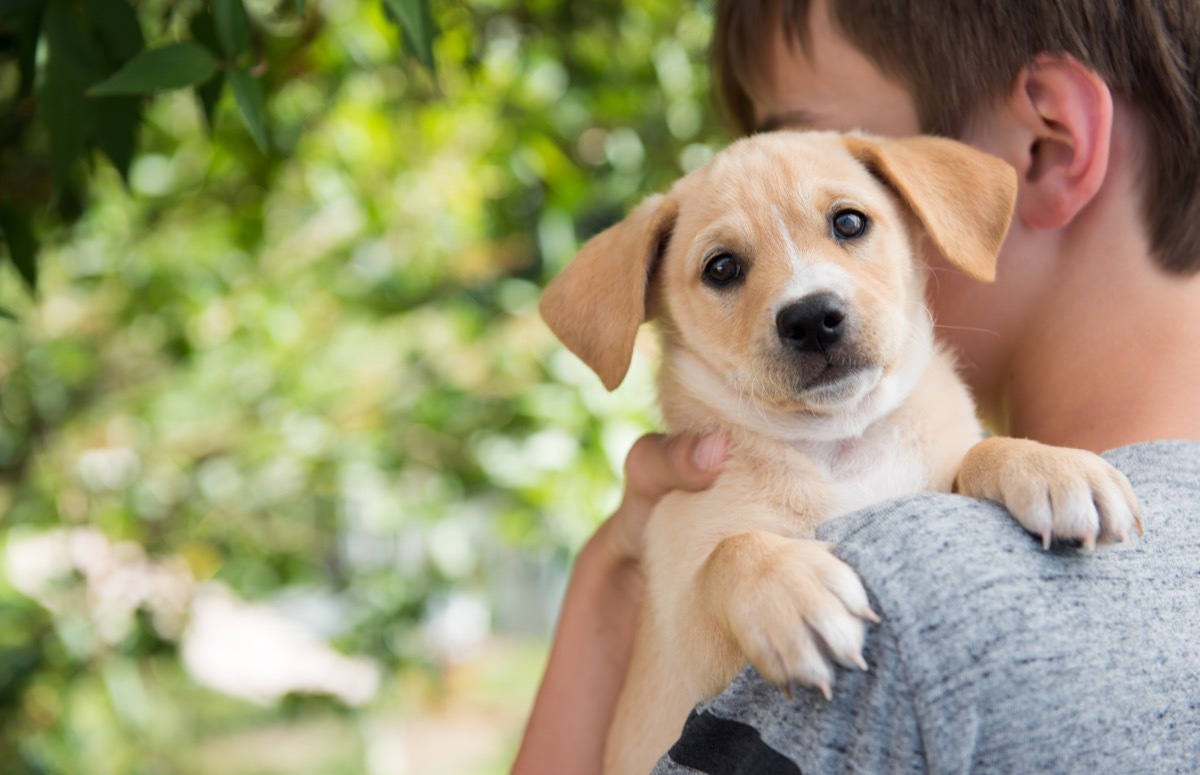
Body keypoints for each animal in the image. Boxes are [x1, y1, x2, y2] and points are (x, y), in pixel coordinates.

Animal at [540, 130, 1137, 772]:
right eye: (721, 268)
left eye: (849, 222)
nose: (810, 318)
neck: (842, 442)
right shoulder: (686, 645)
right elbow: (731, 550)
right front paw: (792, 592)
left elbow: (979, 453)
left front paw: (1050, 464)